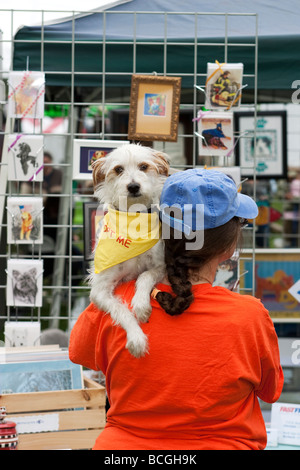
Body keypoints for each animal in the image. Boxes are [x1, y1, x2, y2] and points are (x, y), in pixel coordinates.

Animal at [88, 143, 170, 356]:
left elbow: (144, 276)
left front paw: (141, 304)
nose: (133, 186)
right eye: (118, 169)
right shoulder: (100, 290)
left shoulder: (161, 266)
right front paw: (136, 339)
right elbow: (120, 310)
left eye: (143, 166)